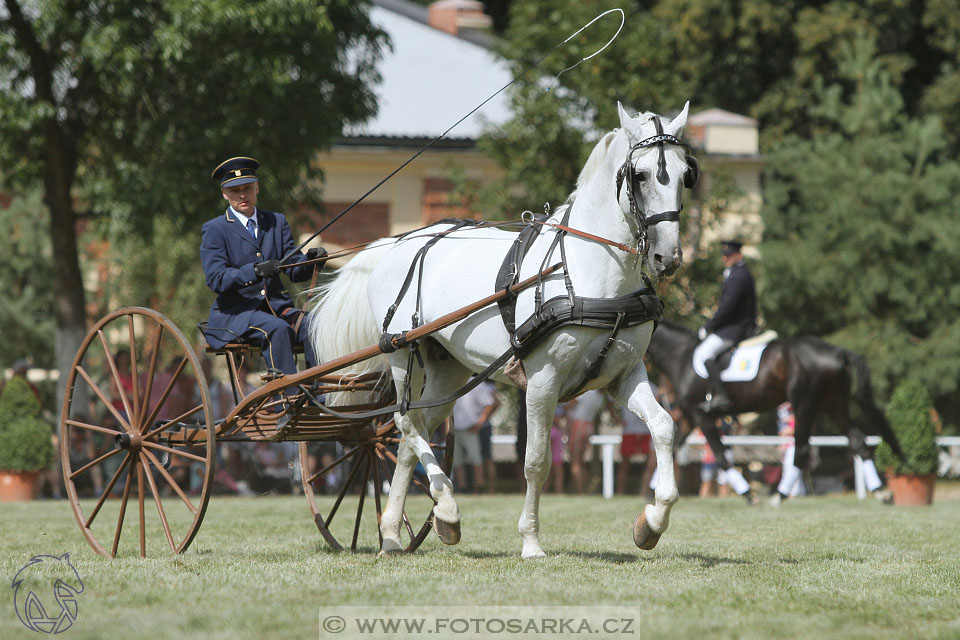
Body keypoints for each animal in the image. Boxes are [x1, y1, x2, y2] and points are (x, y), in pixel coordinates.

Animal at [312, 102, 692, 556]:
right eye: (641, 174)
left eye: (686, 173)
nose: (668, 256)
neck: (590, 272)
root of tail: (396, 242)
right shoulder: (543, 380)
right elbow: (536, 461)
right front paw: (531, 540)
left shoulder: (625, 375)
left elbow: (664, 428)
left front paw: (651, 522)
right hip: (404, 352)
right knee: (405, 424)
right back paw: (446, 508)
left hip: (447, 366)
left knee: (411, 437)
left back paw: (396, 532)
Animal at [644, 320, 900, 500]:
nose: (664, 397)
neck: (682, 356)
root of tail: (836, 352)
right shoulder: (689, 416)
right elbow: (673, 449)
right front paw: (652, 492)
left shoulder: (702, 415)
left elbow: (721, 457)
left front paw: (749, 495)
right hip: (833, 404)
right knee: (857, 441)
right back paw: (881, 492)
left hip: (804, 404)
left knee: (802, 449)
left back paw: (779, 496)